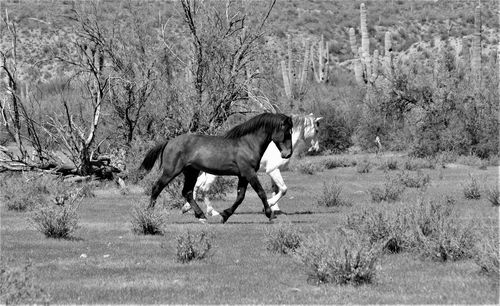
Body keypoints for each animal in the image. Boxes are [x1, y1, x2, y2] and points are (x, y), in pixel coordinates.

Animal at [139, 113, 292, 224]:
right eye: (286, 131)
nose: (287, 154)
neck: (247, 143)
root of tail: (169, 142)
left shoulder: (243, 175)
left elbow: (240, 197)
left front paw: (224, 215)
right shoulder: (249, 173)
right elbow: (261, 193)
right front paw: (269, 214)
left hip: (191, 172)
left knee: (187, 192)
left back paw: (201, 216)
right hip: (171, 171)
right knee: (157, 188)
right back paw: (149, 214)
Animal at [182, 113, 322, 216]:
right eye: (316, 130)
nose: (316, 148)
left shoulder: (273, 172)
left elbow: (275, 190)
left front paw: (275, 209)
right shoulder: (273, 170)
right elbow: (283, 189)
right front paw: (270, 205)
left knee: (197, 185)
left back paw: (188, 208)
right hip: (213, 174)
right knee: (204, 188)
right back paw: (212, 212)